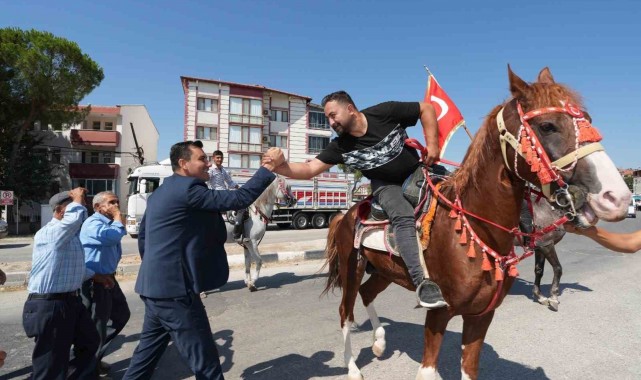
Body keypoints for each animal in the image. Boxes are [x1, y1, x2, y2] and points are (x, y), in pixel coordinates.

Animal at [322, 67, 628, 378]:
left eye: (588, 119)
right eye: (547, 126)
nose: (617, 196)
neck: (474, 228)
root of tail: (347, 213)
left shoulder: (482, 315)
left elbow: (470, 368)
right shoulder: (439, 314)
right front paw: (550, 297)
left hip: (384, 272)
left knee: (367, 293)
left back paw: (380, 343)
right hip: (352, 267)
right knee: (345, 312)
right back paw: (353, 368)